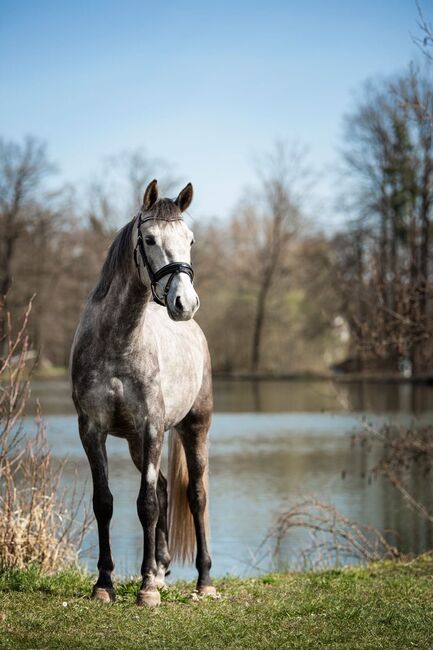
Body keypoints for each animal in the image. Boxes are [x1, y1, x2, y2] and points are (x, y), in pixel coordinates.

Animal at [70, 180, 216, 604]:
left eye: (190, 239)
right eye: (149, 239)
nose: (185, 302)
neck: (119, 344)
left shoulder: (152, 428)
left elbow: (146, 505)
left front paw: (147, 588)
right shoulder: (92, 430)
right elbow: (105, 503)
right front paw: (105, 583)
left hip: (194, 428)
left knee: (196, 495)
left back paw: (203, 580)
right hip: (138, 443)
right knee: (166, 489)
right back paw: (162, 567)